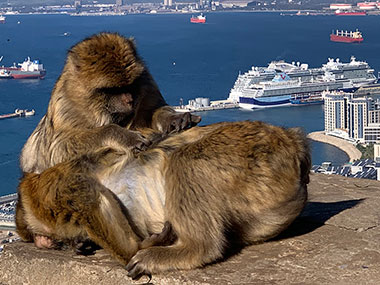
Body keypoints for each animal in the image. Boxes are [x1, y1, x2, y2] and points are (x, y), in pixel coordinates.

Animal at [20, 33, 202, 174]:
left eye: (130, 85)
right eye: (113, 90)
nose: (129, 100)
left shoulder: (147, 87)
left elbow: (152, 112)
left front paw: (173, 118)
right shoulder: (65, 107)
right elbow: (57, 150)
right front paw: (123, 136)